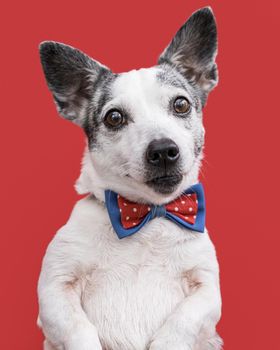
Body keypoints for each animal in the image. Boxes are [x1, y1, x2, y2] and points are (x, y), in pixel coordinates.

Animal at [38, 6, 223, 350]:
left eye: (181, 104)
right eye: (114, 117)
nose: (163, 150)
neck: (148, 215)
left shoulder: (206, 289)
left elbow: (184, 320)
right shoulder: (54, 290)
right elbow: (78, 329)